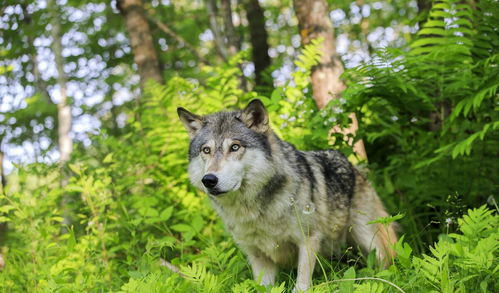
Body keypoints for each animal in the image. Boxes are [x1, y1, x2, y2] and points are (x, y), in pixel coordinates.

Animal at [179, 98, 398, 290]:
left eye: (234, 147)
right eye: (206, 150)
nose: (209, 180)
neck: (255, 209)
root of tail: (354, 166)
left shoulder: (308, 240)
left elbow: (301, 284)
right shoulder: (257, 255)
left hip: (369, 239)